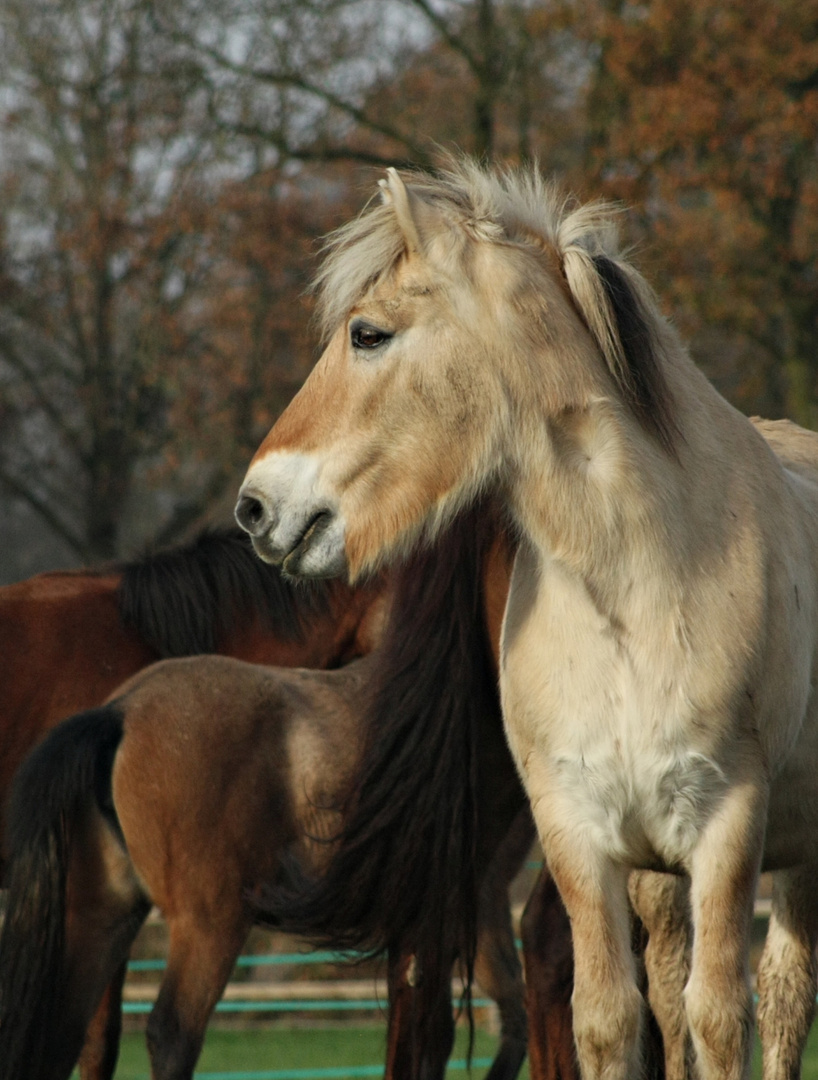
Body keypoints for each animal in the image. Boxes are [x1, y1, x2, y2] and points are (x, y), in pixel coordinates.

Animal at [233, 162, 816, 1080]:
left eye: (368, 334)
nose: (256, 508)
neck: (637, 586)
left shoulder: (732, 830)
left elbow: (724, 1018)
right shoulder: (578, 834)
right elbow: (610, 1019)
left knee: (784, 1002)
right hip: (659, 876)